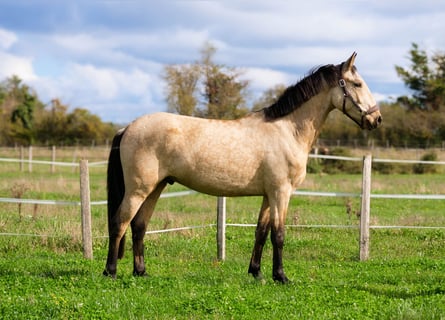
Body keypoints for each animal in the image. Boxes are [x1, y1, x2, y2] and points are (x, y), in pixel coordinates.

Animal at [102, 52, 380, 282]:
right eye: (357, 84)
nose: (376, 119)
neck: (287, 130)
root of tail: (127, 128)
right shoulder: (281, 193)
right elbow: (279, 235)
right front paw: (281, 276)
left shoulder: (269, 195)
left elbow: (261, 232)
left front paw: (257, 272)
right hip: (138, 190)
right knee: (120, 223)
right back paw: (110, 272)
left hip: (156, 187)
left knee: (139, 226)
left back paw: (141, 272)